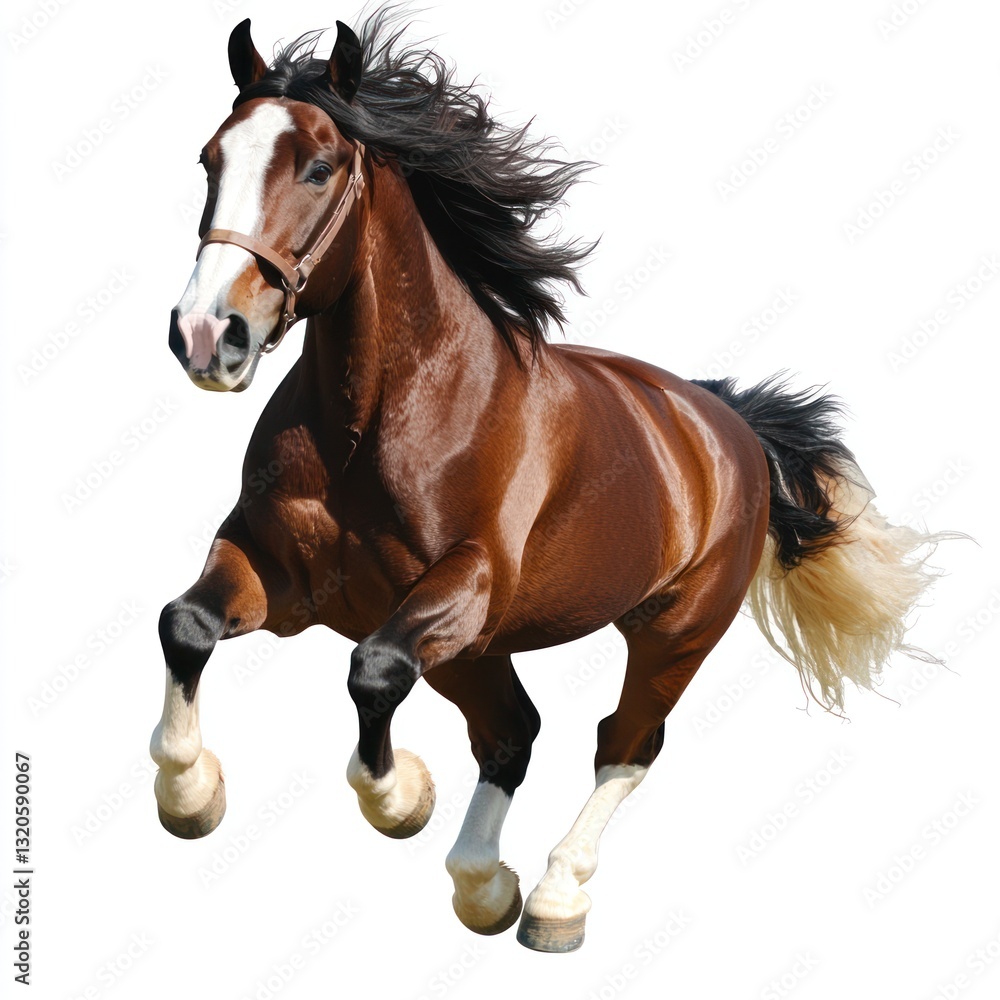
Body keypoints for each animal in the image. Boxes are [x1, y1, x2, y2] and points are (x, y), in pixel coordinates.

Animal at [150, 11, 944, 952]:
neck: (374, 420)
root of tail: (726, 422)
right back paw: (484, 885)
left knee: (624, 743)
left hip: (672, 632)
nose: (208, 335)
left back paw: (555, 900)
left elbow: (373, 670)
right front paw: (190, 794)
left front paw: (400, 797)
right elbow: (185, 626)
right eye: (210, 160)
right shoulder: (276, 571)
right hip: (484, 650)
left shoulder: (463, 587)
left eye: (318, 167)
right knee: (513, 733)